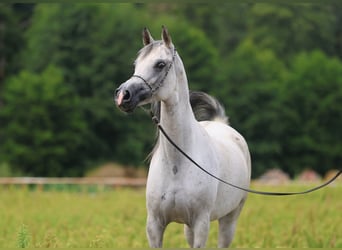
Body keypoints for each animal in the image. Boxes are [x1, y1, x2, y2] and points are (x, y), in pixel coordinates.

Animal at [115, 26, 251, 247]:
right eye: (136, 64)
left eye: (160, 64)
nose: (123, 95)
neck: (177, 163)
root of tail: (221, 123)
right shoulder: (154, 226)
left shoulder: (201, 224)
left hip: (229, 219)